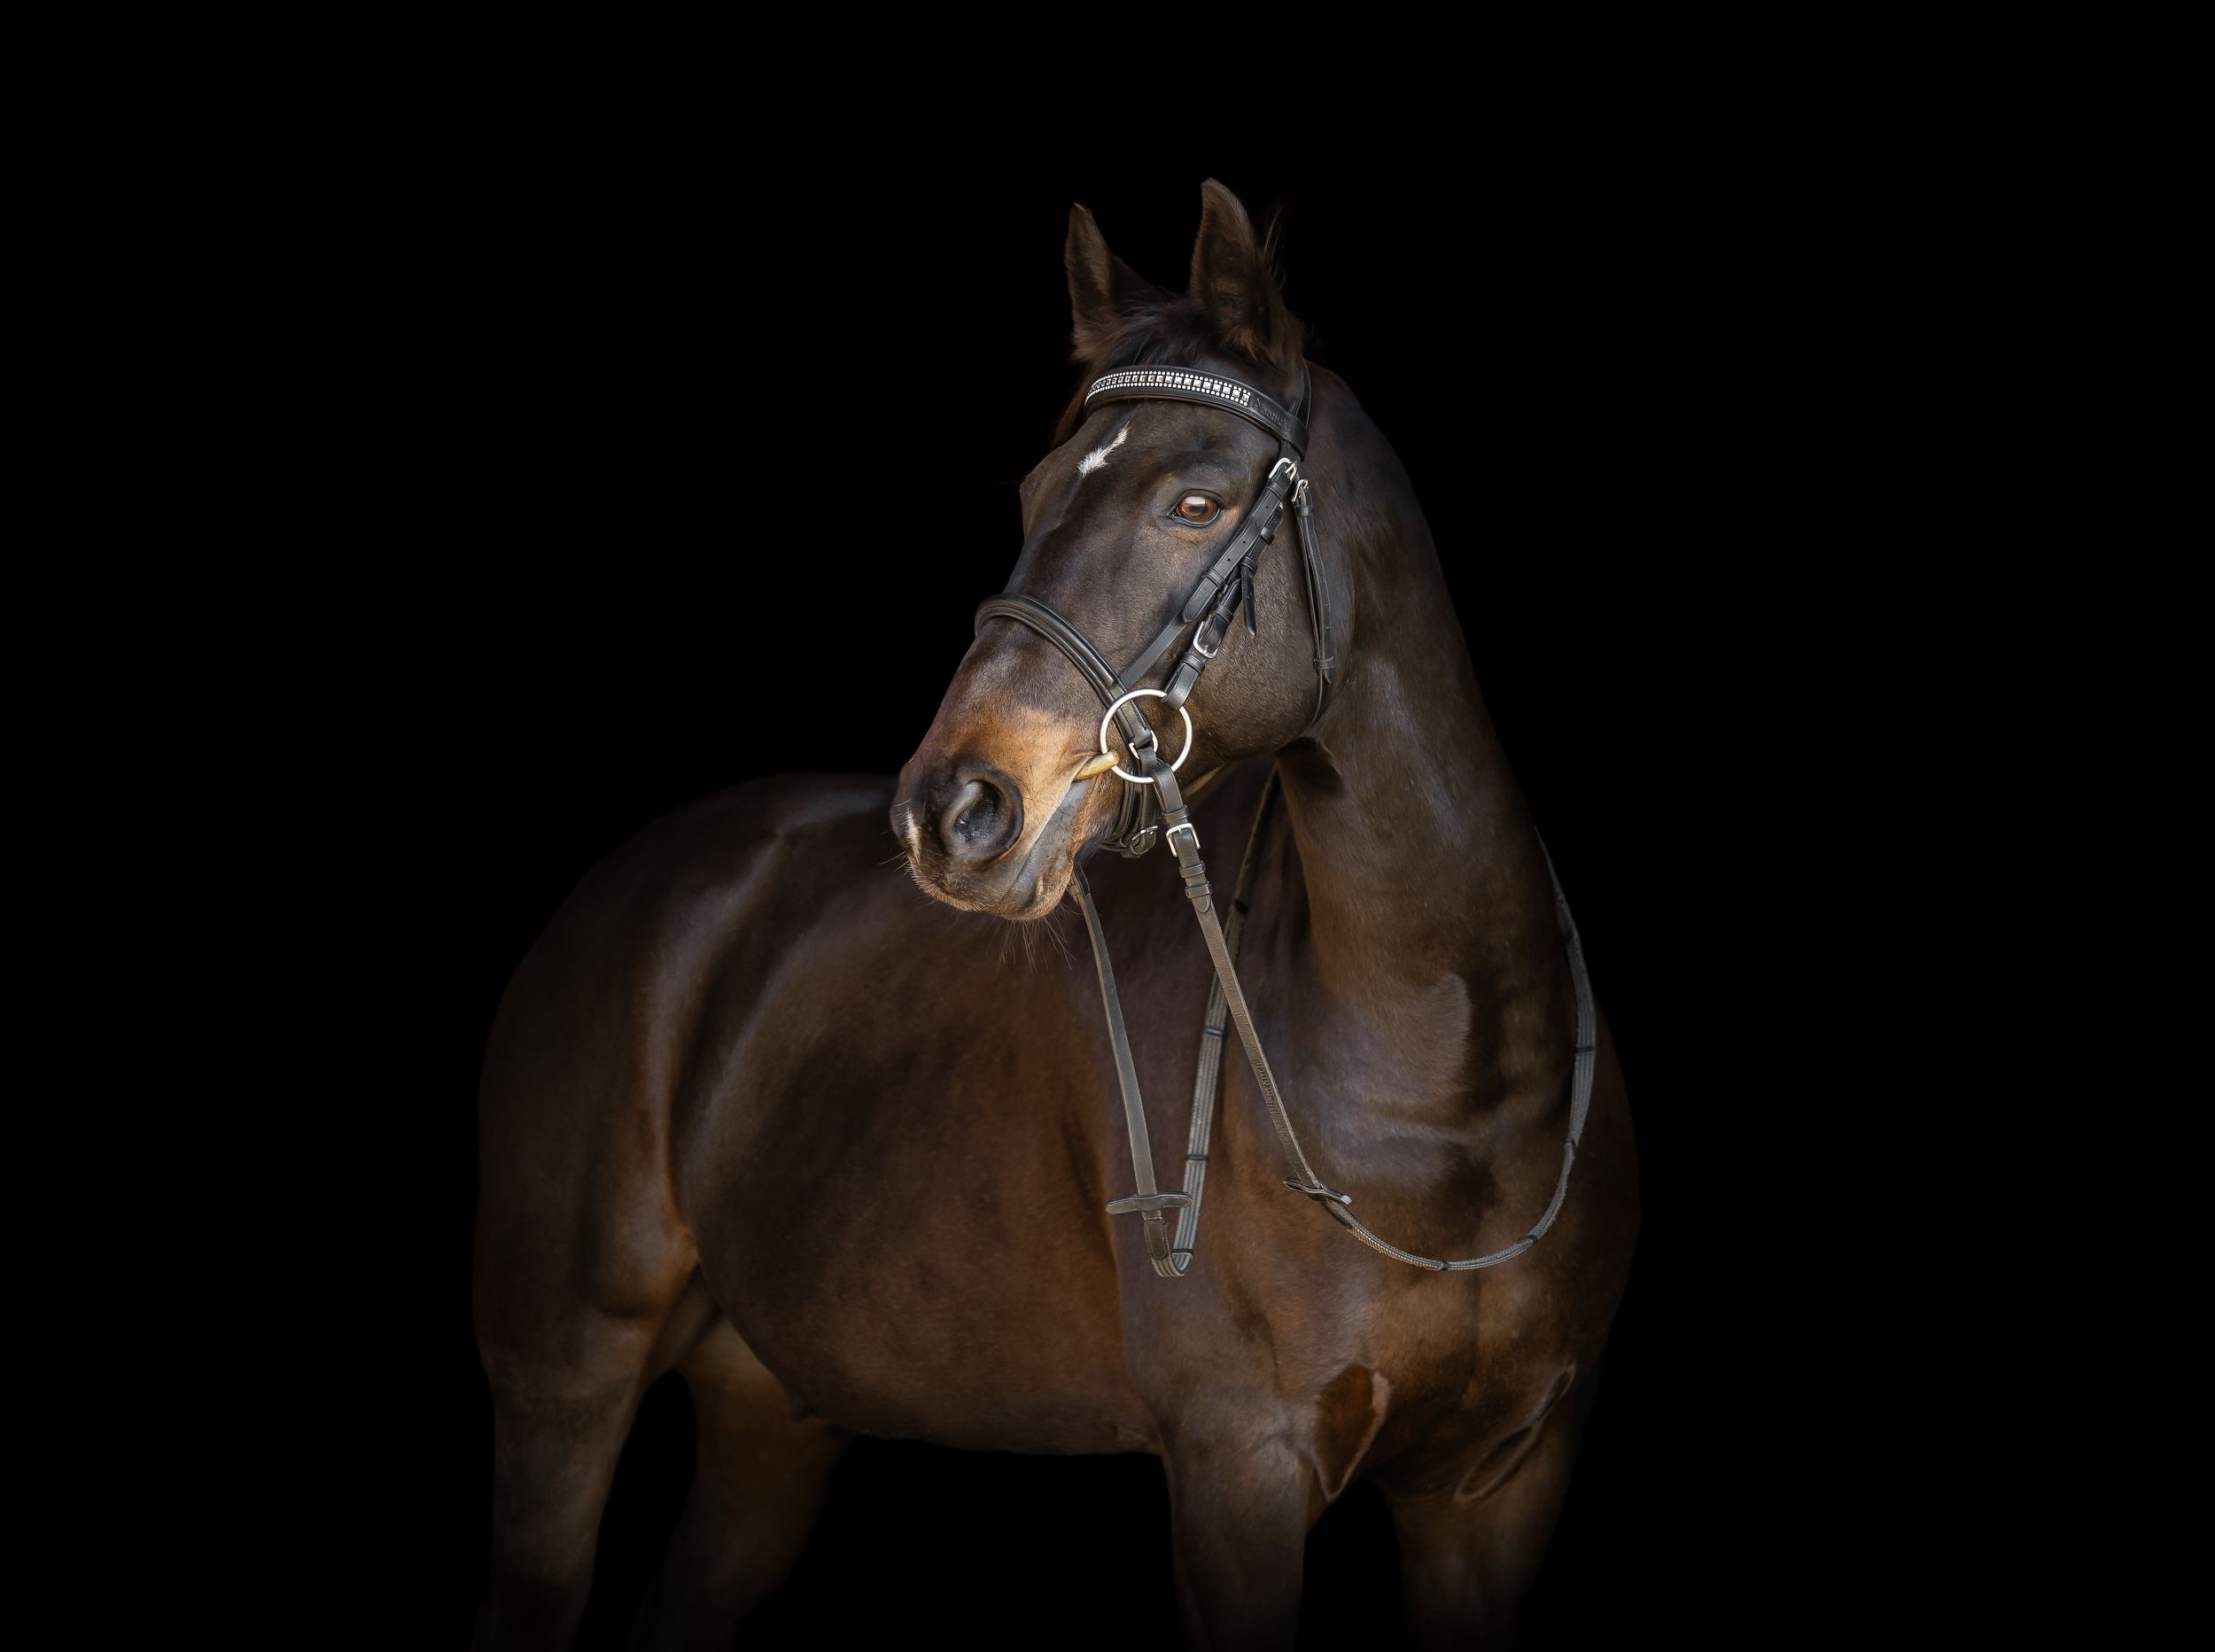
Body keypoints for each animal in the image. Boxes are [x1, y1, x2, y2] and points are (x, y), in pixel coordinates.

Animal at [471, 178, 1640, 1651]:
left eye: (1198, 501)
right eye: (1034, 490)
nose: (953, 809)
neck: (1447, 1078)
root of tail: (640, 886)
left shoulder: (1499, 1491)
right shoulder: (1240, 1472)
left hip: (765, 1422)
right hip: (561, 1391)